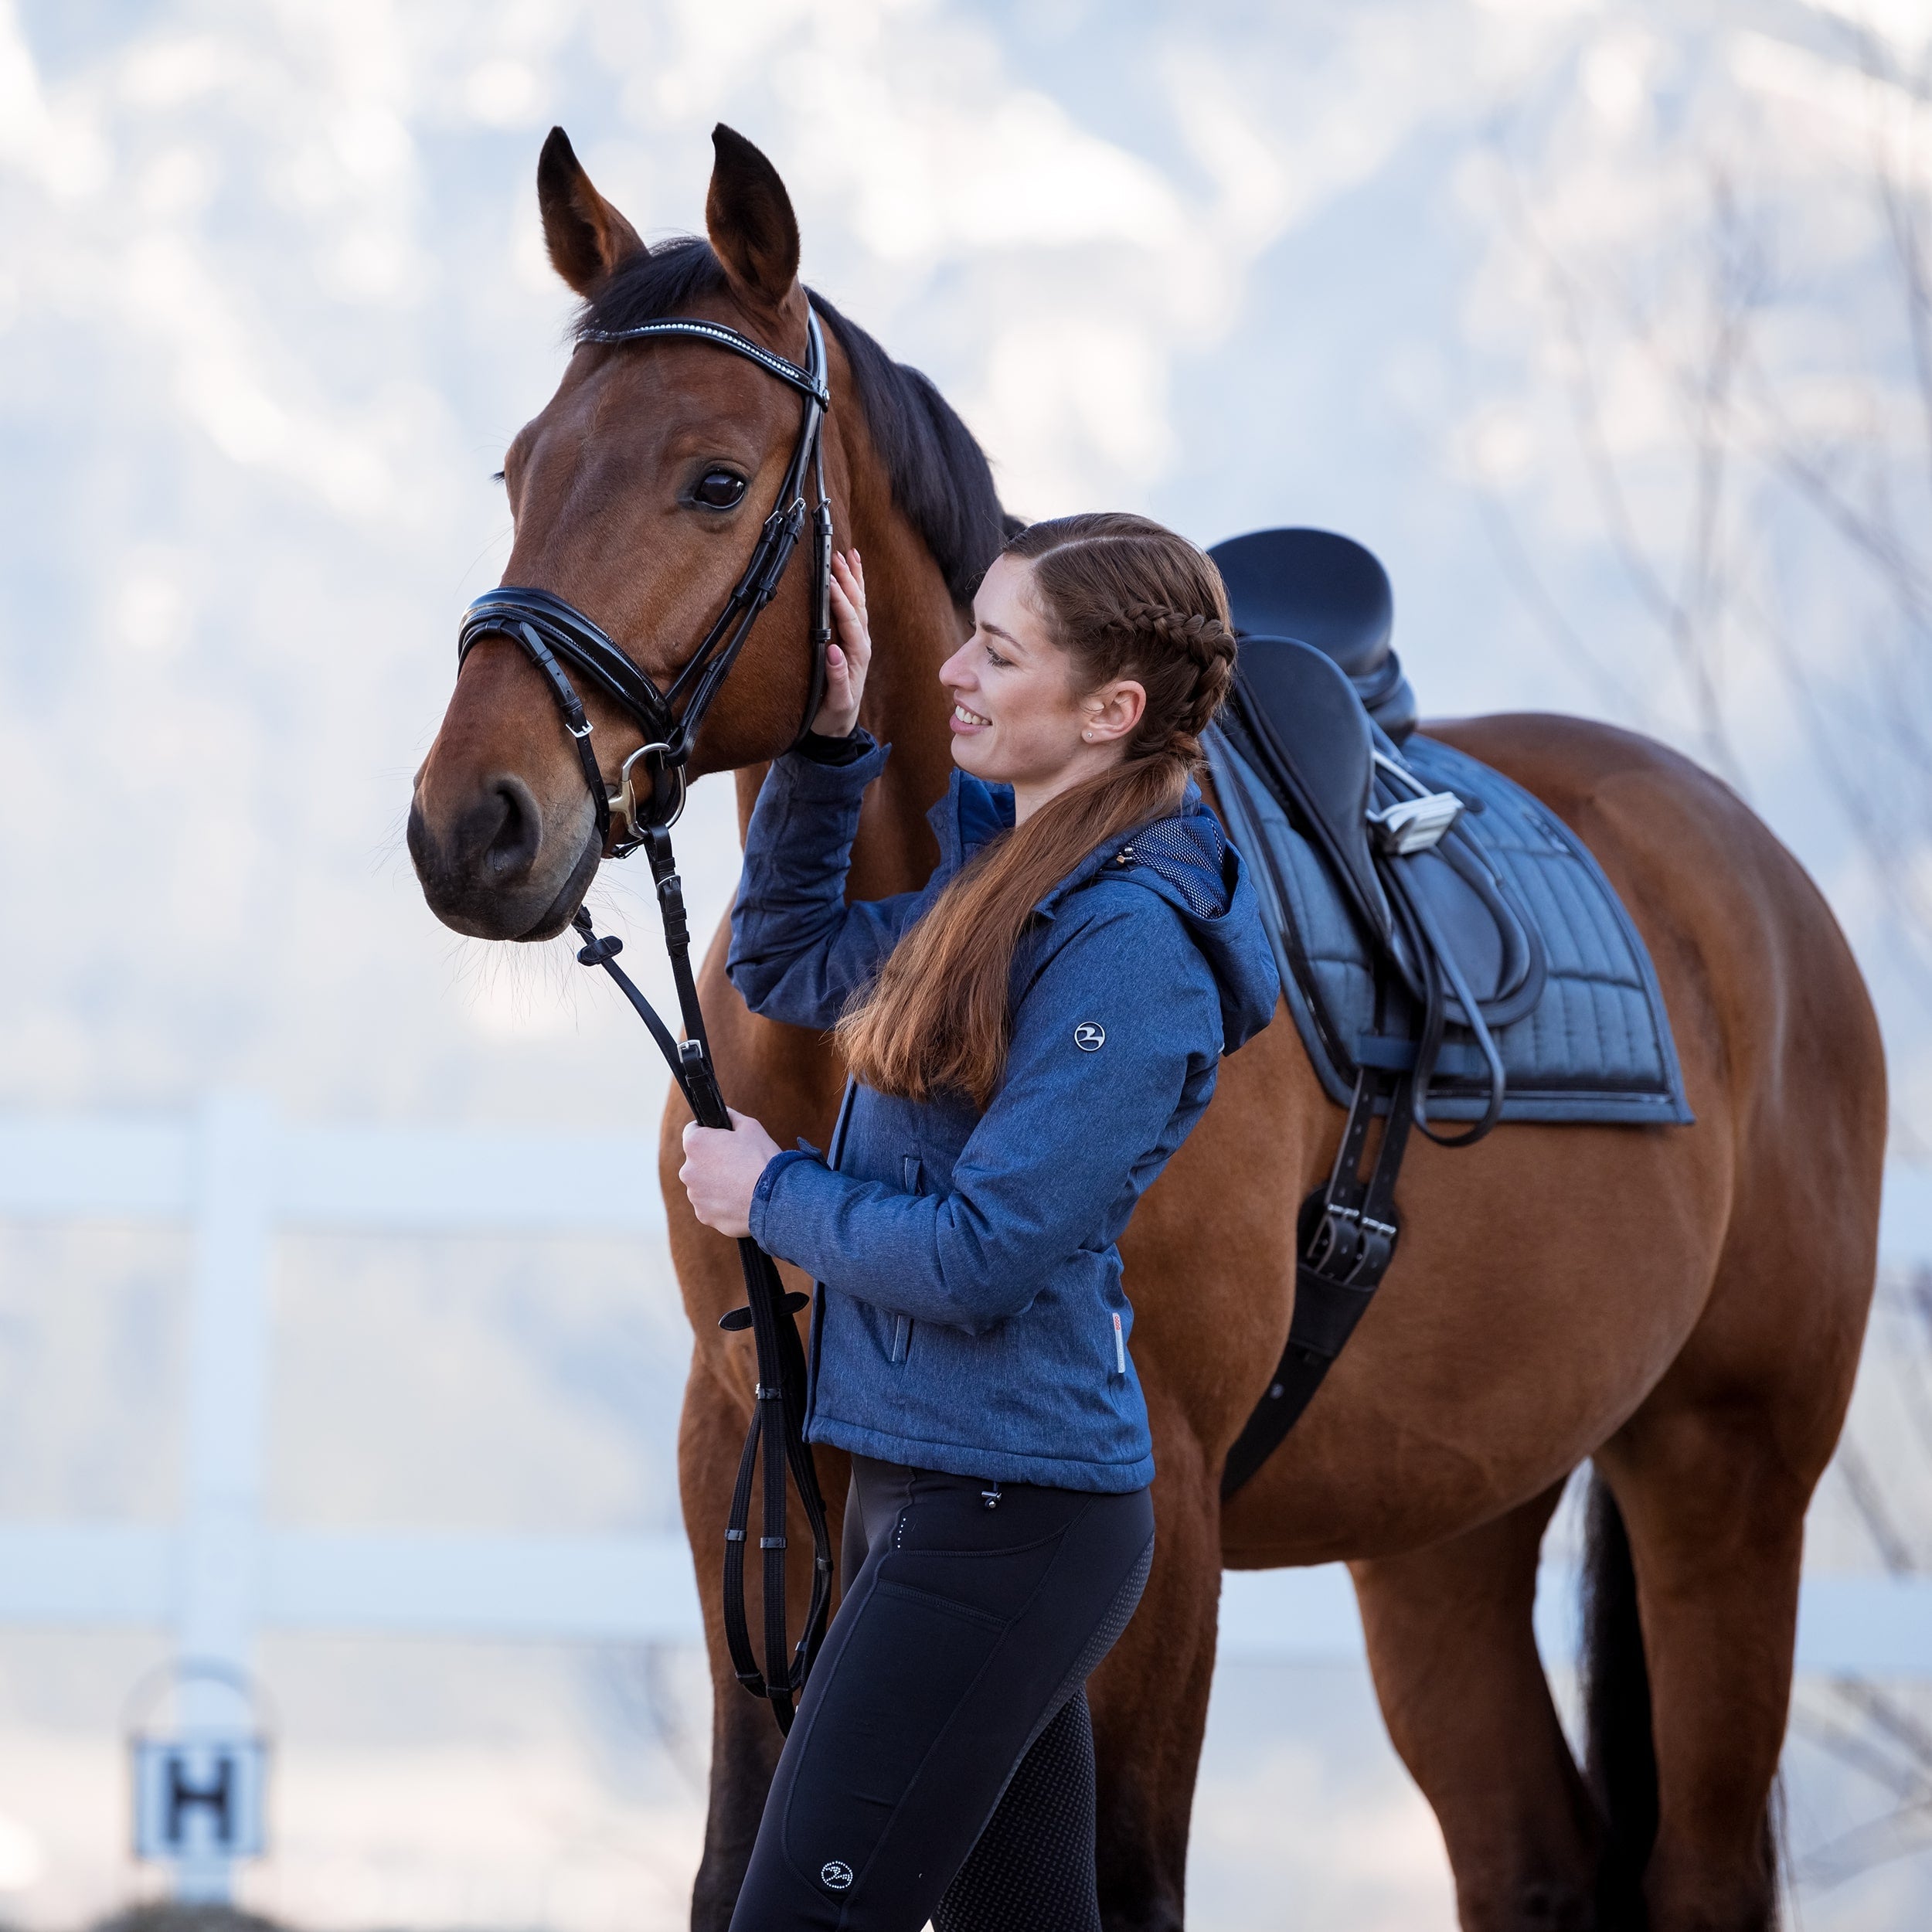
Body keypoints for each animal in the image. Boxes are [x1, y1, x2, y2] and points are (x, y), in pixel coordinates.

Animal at [411, 124, 1886, 1932]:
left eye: (712, 480)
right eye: (518, 472)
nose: (470, 823)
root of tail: (1757, 877)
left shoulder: (1159, 1510)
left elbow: (1124, 1878)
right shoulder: (744, 1462)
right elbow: (734, 1857)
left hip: (1722, 1483)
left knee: (1705, 1864)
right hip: (1446, 1527)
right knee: (1528, 1855)